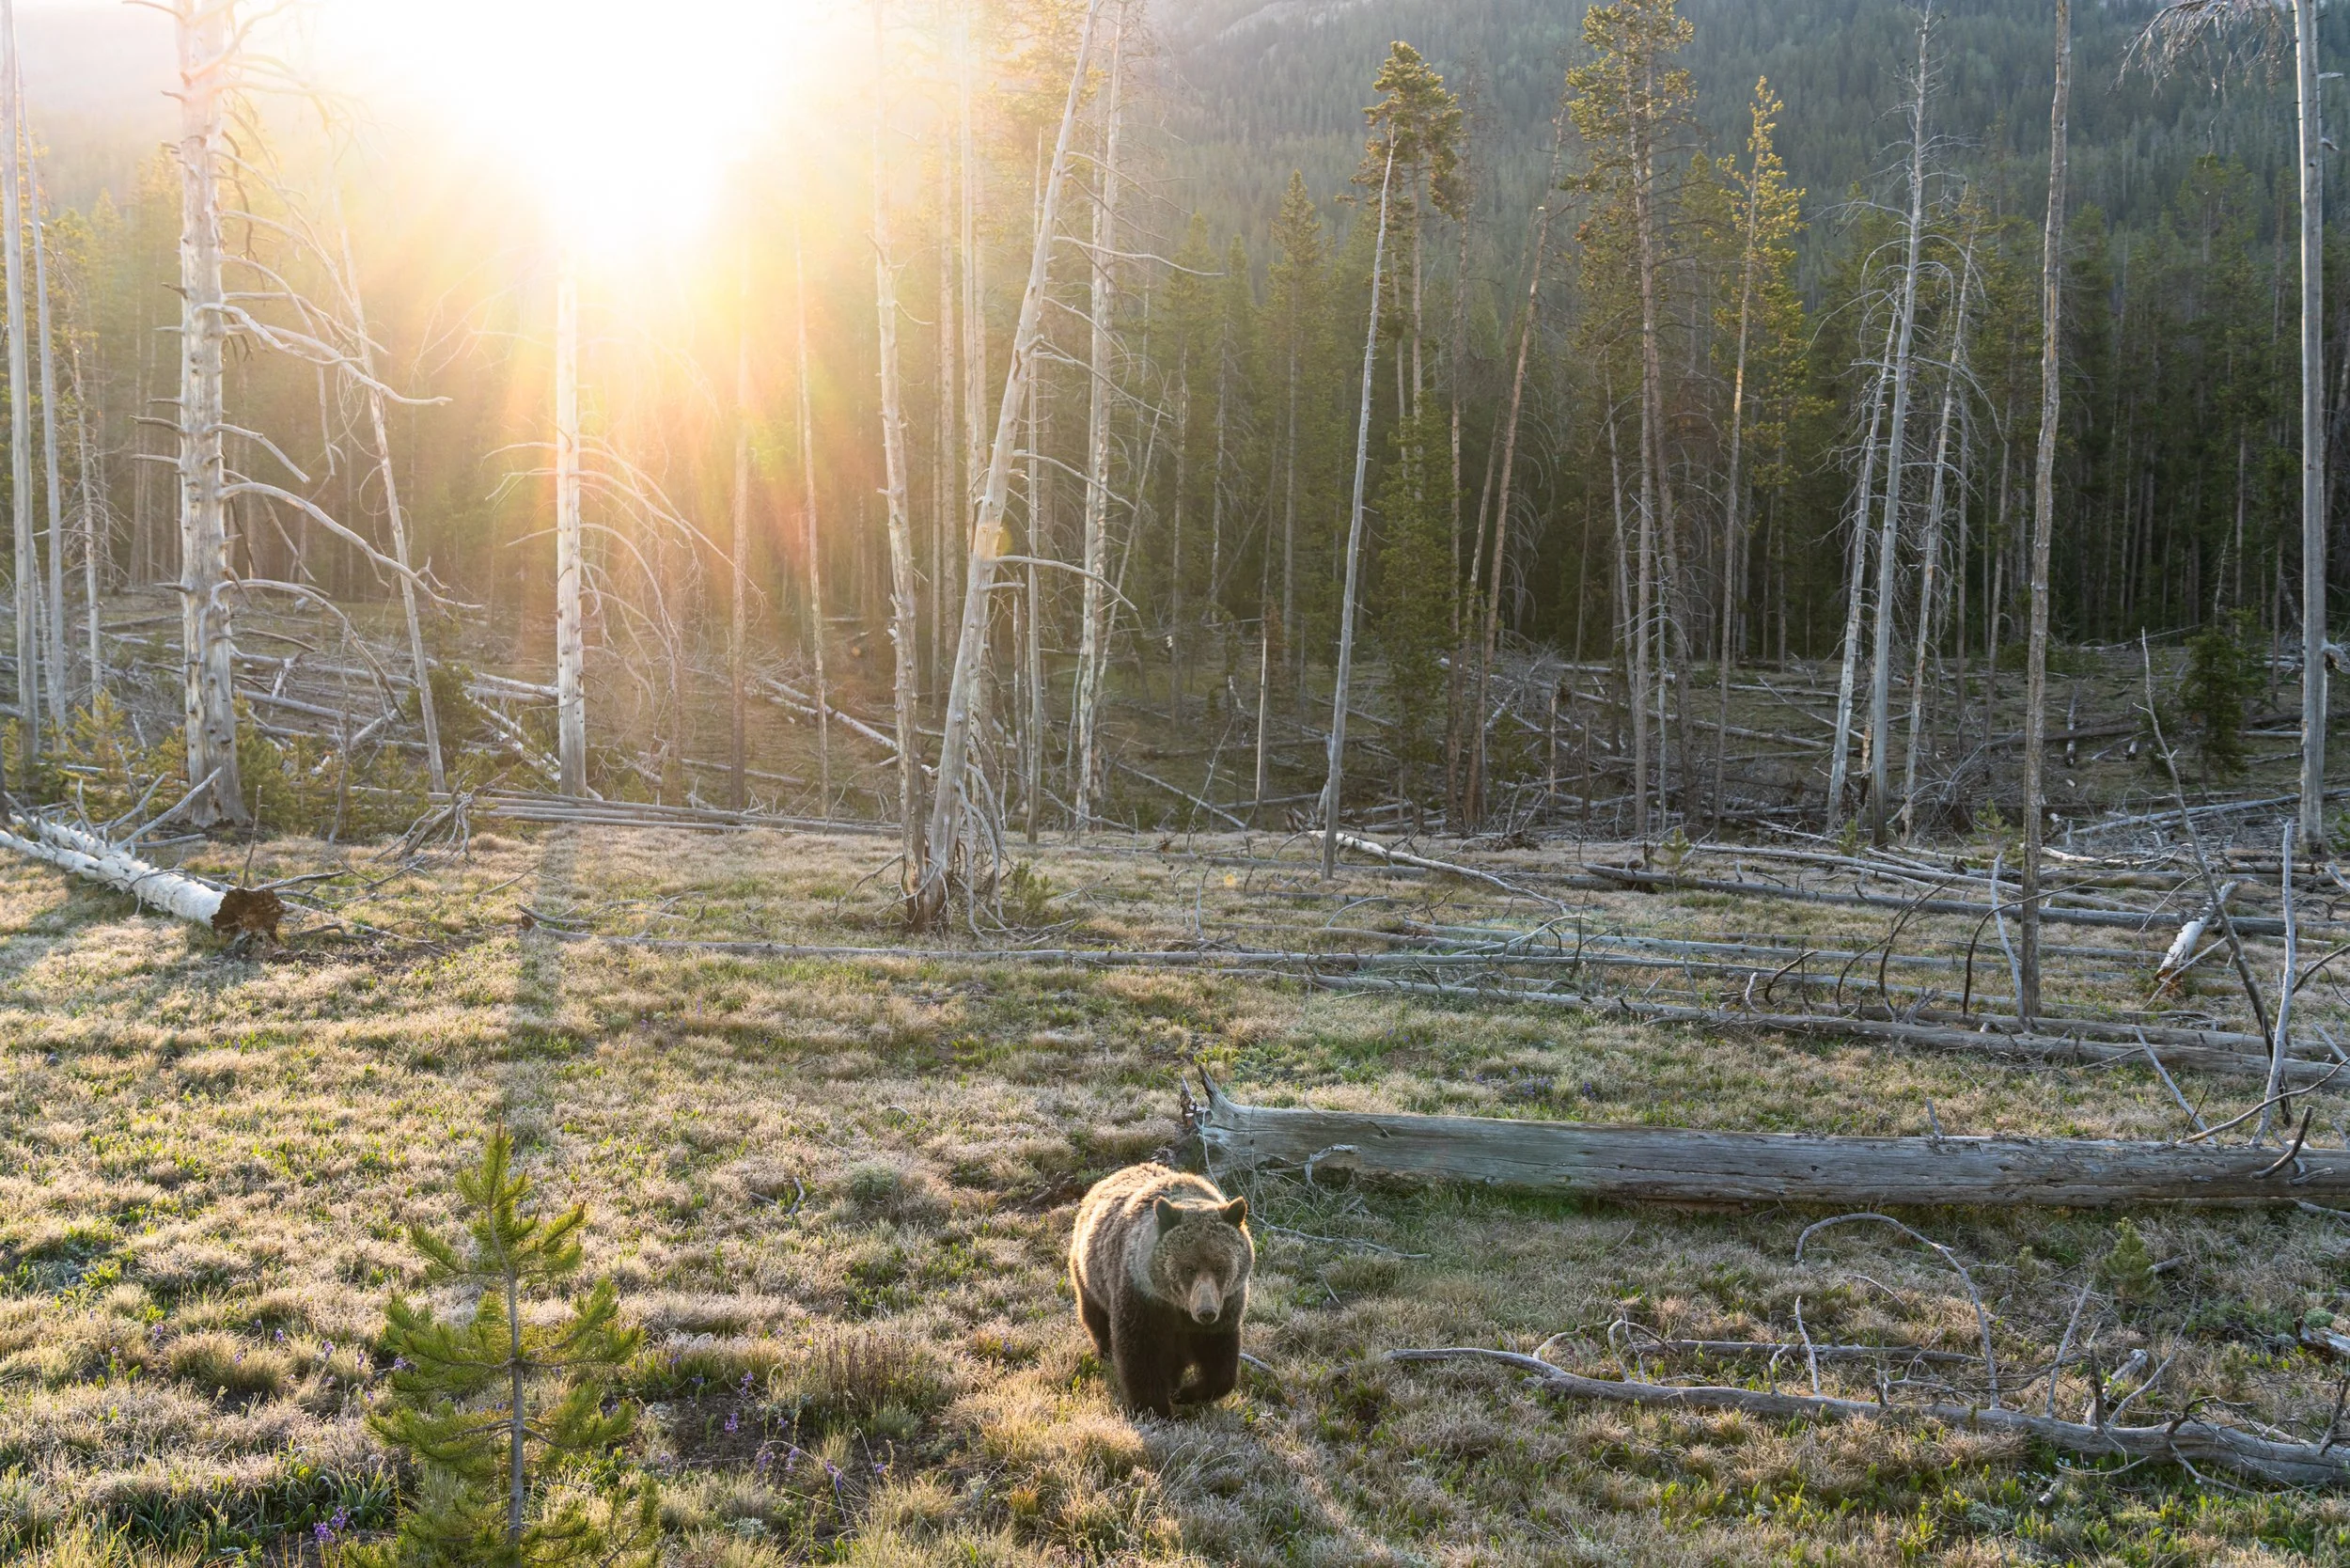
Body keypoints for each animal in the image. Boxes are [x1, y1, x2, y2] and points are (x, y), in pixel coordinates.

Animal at [1068, 1163, 1254, 1416]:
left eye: (1220, 1266)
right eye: (1188, 1267)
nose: (1206, 1312)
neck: (1178, 1307)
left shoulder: (1226, 1306)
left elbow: (1221, 1364)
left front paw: (1185, 1393)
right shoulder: (1144, 1301)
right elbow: (1141, 1355)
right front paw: (1154, 1408)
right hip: (1090, 1275)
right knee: (1095, 1317)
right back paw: (1105, 1352)